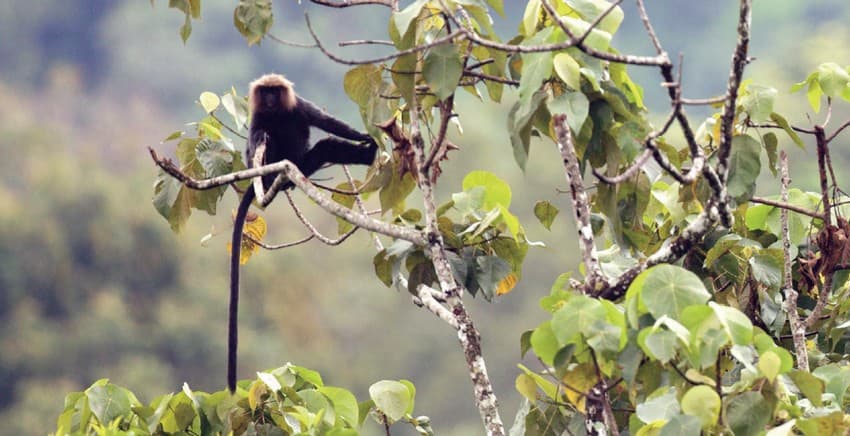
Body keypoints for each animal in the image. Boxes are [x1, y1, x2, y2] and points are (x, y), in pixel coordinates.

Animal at [230, 74, 380, 392]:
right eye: (266, 93)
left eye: (276, 92)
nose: (270, 99)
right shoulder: (258, 118)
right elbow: (254, 142)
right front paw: (259, 144)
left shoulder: (298, 106)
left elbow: (328, 123)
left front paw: (363, 135)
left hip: (304, 165)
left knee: (326, 147)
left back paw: (369, 151)